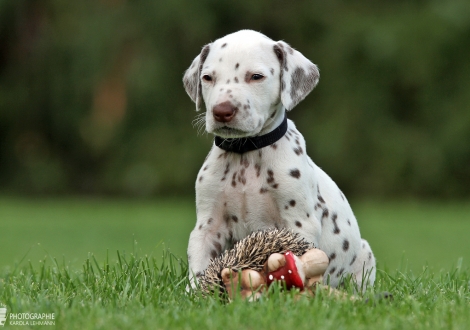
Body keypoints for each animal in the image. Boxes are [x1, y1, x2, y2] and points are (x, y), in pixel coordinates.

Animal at [182, 30, 376, 288]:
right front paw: (196, 292)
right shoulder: (207, 227)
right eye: (207, 77)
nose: (222, 111)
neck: (246, 154)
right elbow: (199, 269)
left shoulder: (299, 223)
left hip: (365, 257)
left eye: (256, 76)